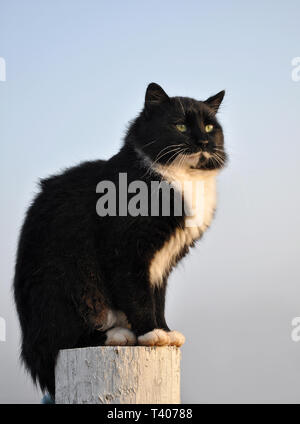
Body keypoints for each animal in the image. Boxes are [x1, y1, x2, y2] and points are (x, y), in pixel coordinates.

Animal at [12, 82, 226, 398]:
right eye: (180, 125)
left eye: (210, 126)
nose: (202, 141)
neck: (181, 179)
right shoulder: (126, 248)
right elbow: (139, 294)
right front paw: (150, 333)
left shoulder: (162, 261)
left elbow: (157, 297)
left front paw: (165, 330)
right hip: (64, 286)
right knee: (61, 339)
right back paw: (118, 334)